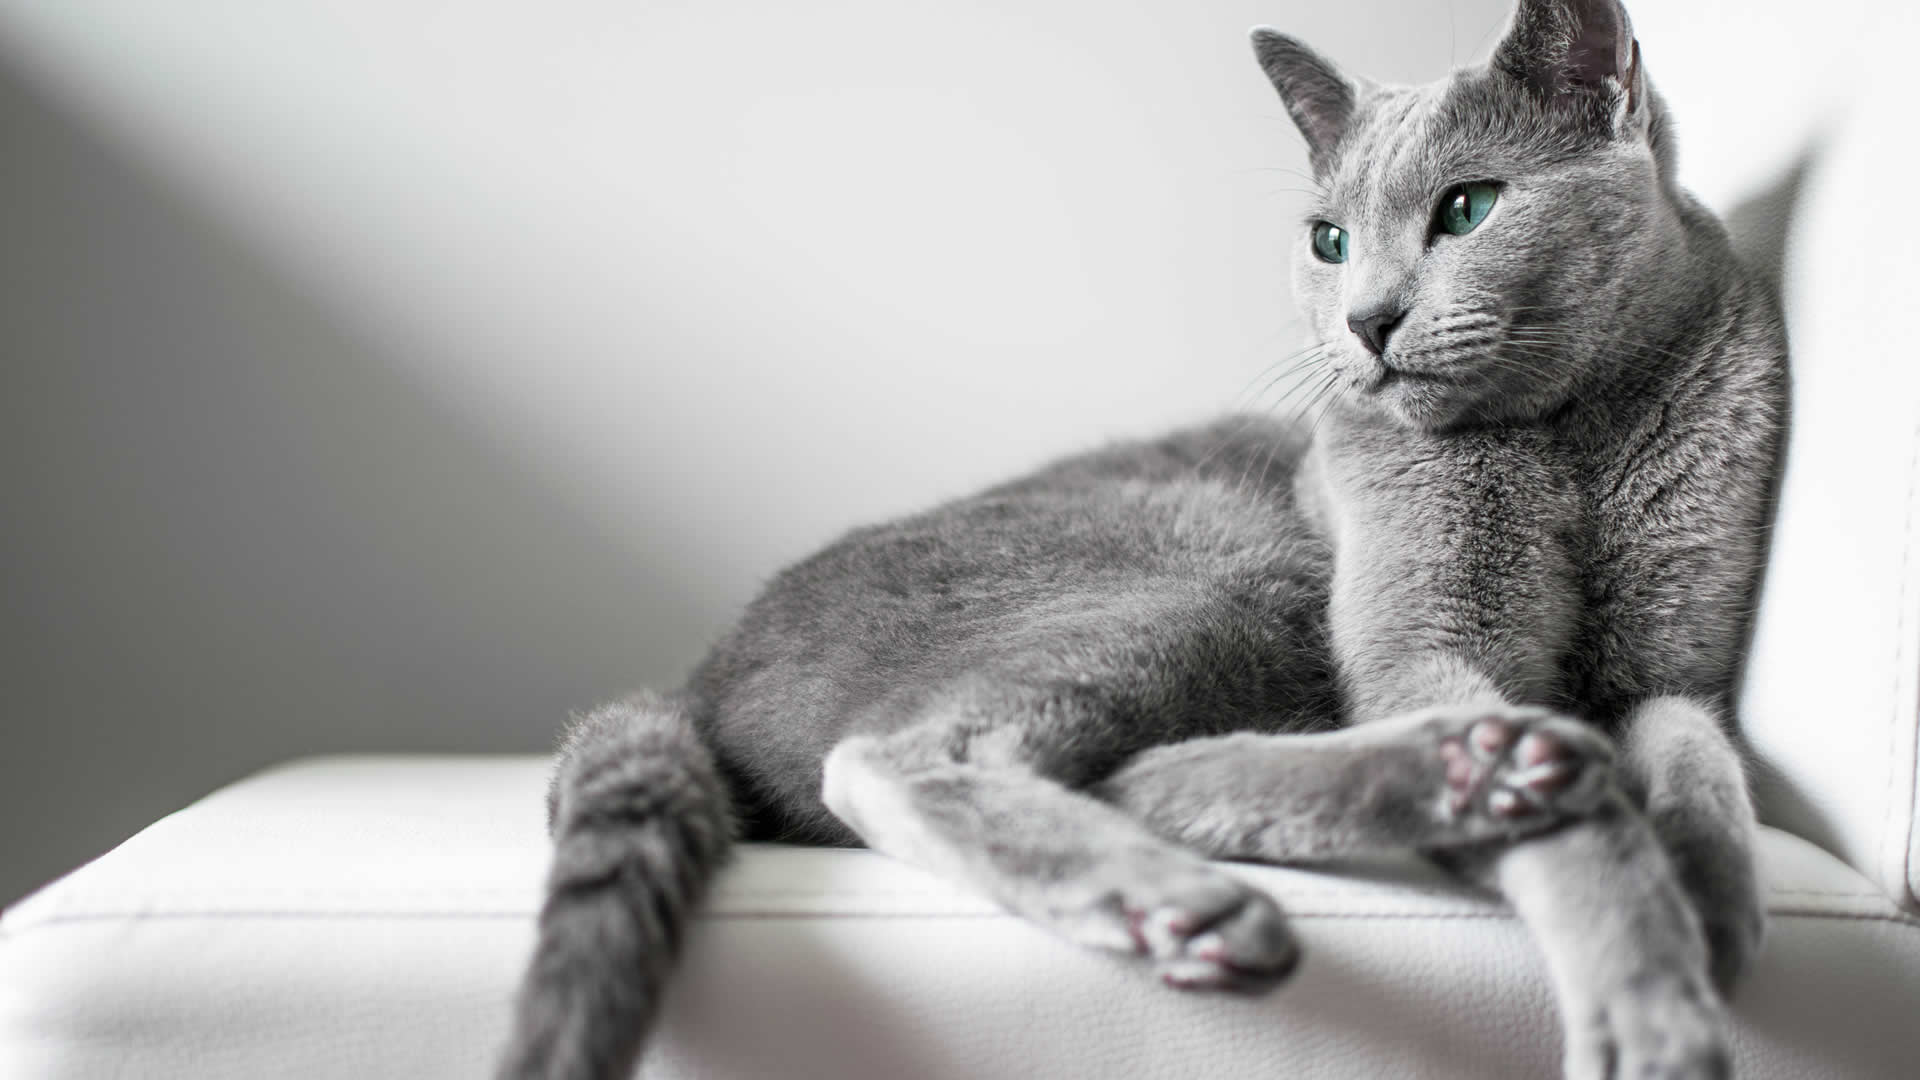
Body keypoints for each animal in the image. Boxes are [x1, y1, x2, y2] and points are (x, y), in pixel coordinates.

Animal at [495, 2, 1781, 1076]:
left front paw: (1712, 907)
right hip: (1224, 569)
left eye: (1467, 207)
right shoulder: (1421, 644)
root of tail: (702, 671)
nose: (1367, 320)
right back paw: (1404, 800)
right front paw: (1652, 1004)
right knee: (909, 758)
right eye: (1327, 241)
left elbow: (1695, 757)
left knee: (1130, 772)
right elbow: (1589, 837)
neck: (1573, 440)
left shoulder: (1667, 675)